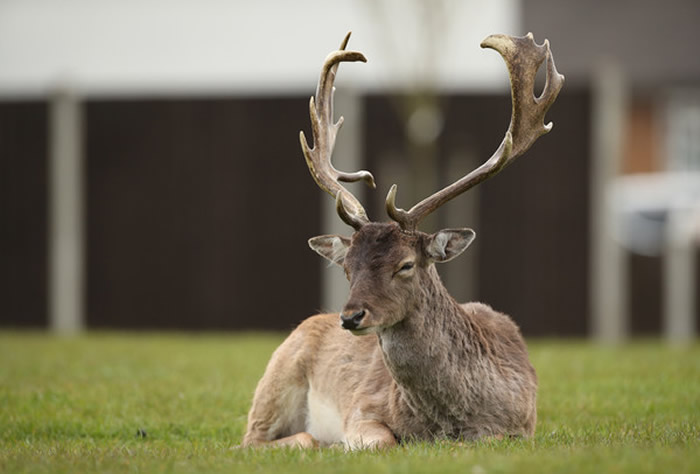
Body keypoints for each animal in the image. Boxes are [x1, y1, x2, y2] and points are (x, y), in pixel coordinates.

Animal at [241, 31, 564, 450]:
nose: (351, 316)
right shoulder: (362, 407)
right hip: (275, 377)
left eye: (405, 265)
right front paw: (344, 444)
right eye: (347, 268)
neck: (444, 423)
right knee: (254, 439)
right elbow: (383, 440)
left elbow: (489, 439)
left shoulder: (523, 425)